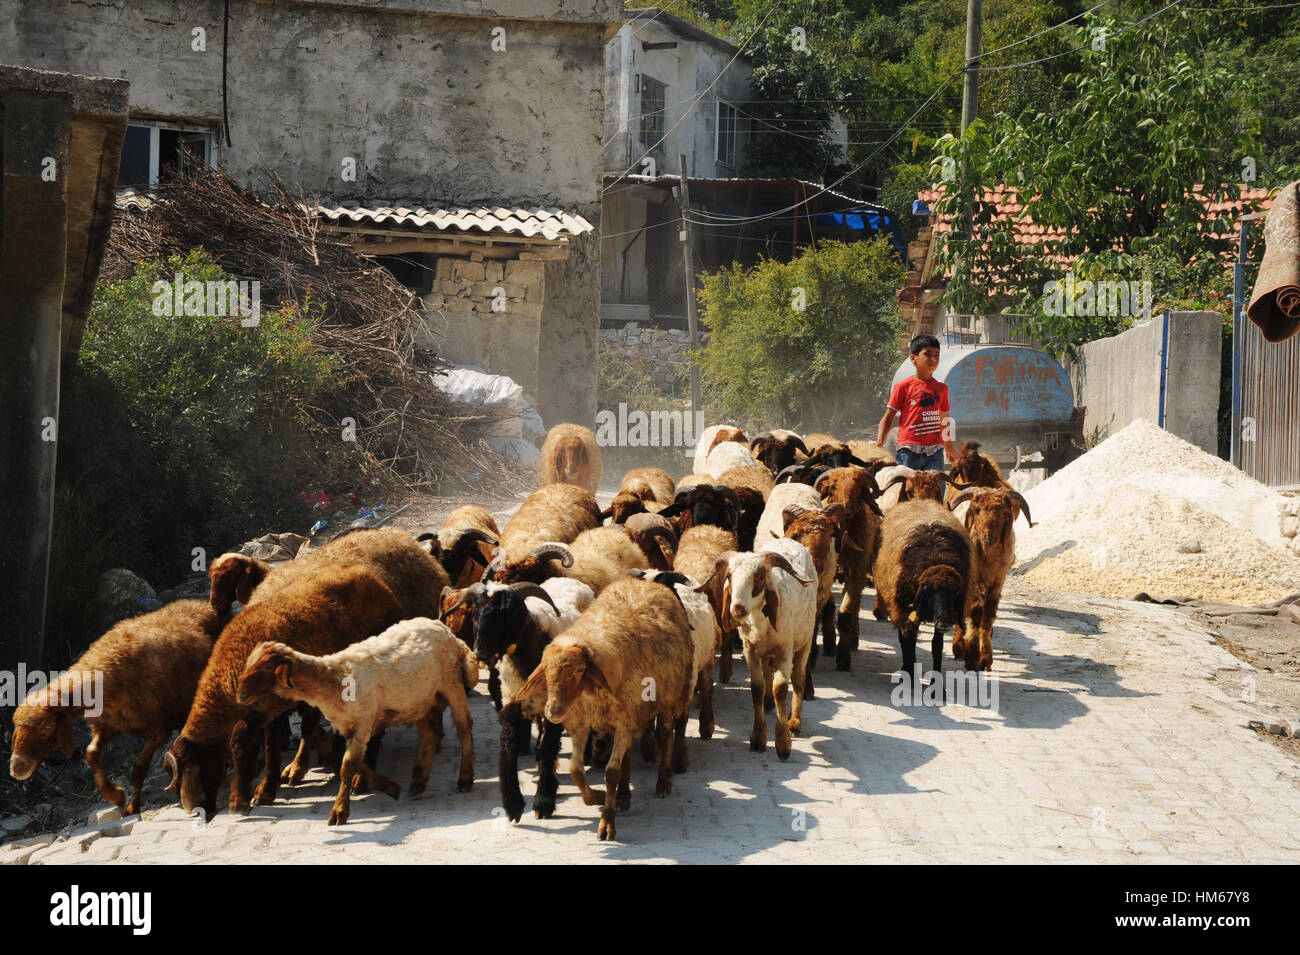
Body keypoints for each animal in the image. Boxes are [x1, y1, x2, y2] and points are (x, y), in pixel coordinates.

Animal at [8, 597, 226, 815]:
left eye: (46, 728)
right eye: (16, 727)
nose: (16, 768)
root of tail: (205, 605)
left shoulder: (158, 729)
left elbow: (138, 768)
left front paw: (131, 807)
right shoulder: (110, 725)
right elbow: (91, 754)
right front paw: (115, 795)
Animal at [946, 488, 1034, 670]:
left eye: (1003, 512)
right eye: (977, 510)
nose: (989, 537)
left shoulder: (998, 581)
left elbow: (988, 615)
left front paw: (985, 659)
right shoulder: (973, 581)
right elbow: (975, 612)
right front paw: (971, 657)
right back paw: (958, 647)